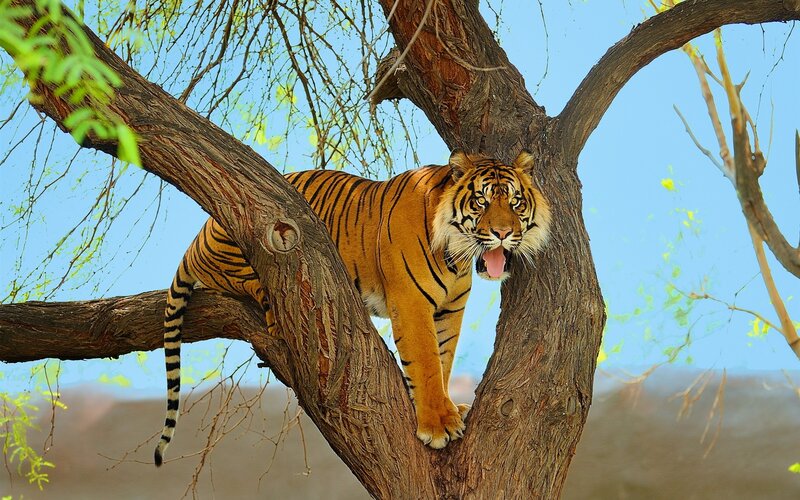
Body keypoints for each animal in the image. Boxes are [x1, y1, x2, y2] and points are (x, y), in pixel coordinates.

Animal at [154, 150, 551, 466]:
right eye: (481, 201)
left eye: (515, 202)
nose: (503, 233)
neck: (456, 257)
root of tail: (195, 241)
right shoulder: (411, 302)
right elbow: (425, 362)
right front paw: (438, 424)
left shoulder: (449, 312)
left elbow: (443, 361)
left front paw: (449, 408)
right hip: (250, 243)